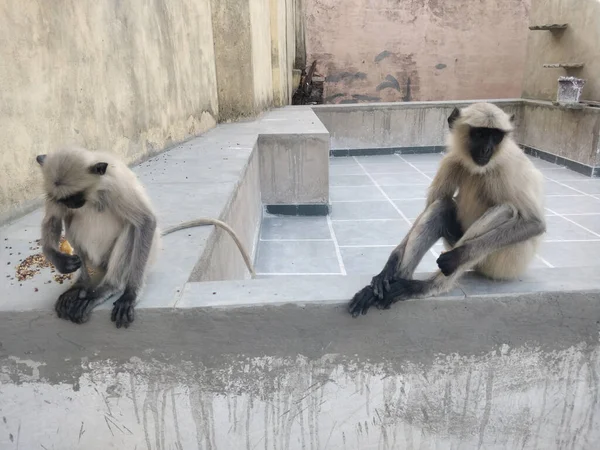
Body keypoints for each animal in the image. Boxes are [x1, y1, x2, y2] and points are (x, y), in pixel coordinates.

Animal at [37, 147, 253, 326]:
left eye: (75, 197)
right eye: (61, 199)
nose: (70, 205)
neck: (94, 194)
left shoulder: (117, 185)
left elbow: (145, 222)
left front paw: (131, 294)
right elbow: (52, 220)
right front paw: (61, 261)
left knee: (131, 227)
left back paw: (108, 287)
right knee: (68, 220)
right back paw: (81, 285)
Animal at [346, 102, 548, 316]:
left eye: (495, 136)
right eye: (480, 134)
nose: (487, 149)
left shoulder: (507, 167)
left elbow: (535, 223)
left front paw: (459, 256)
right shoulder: (451, 160)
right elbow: (430, 207)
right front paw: (388, 268)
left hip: (506, 262)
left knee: (506, 210)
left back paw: (429, 286)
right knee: (441, 205)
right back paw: (395, 283)